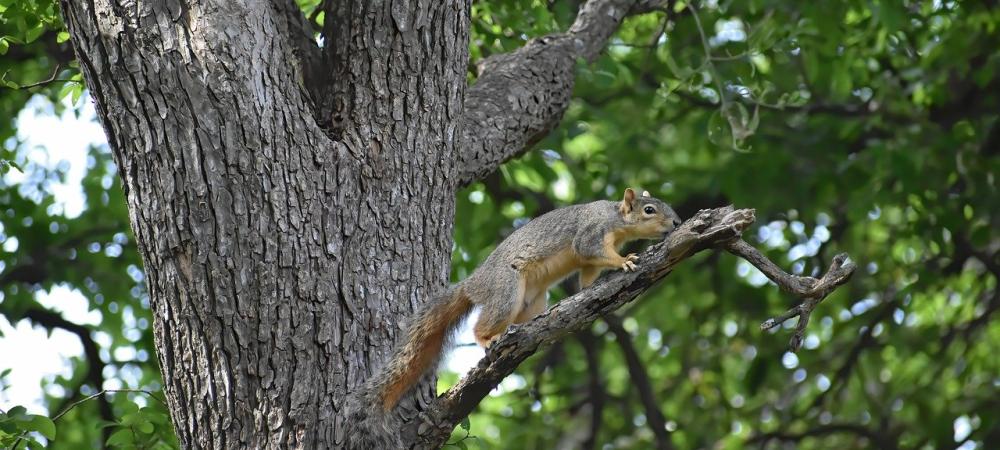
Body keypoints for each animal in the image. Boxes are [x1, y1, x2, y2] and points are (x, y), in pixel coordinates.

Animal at [342, 188, 680, 448]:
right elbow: (589, 249)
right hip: (506, 291)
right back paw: (489, 340)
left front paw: (595, 283)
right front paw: (624, 261)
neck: (617, 220)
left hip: (532, 301)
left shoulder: (588, 261)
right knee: (481, 325)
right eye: (649, 209)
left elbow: (587, 276)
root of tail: (473, 285)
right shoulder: (592, 233)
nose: (677, 222)